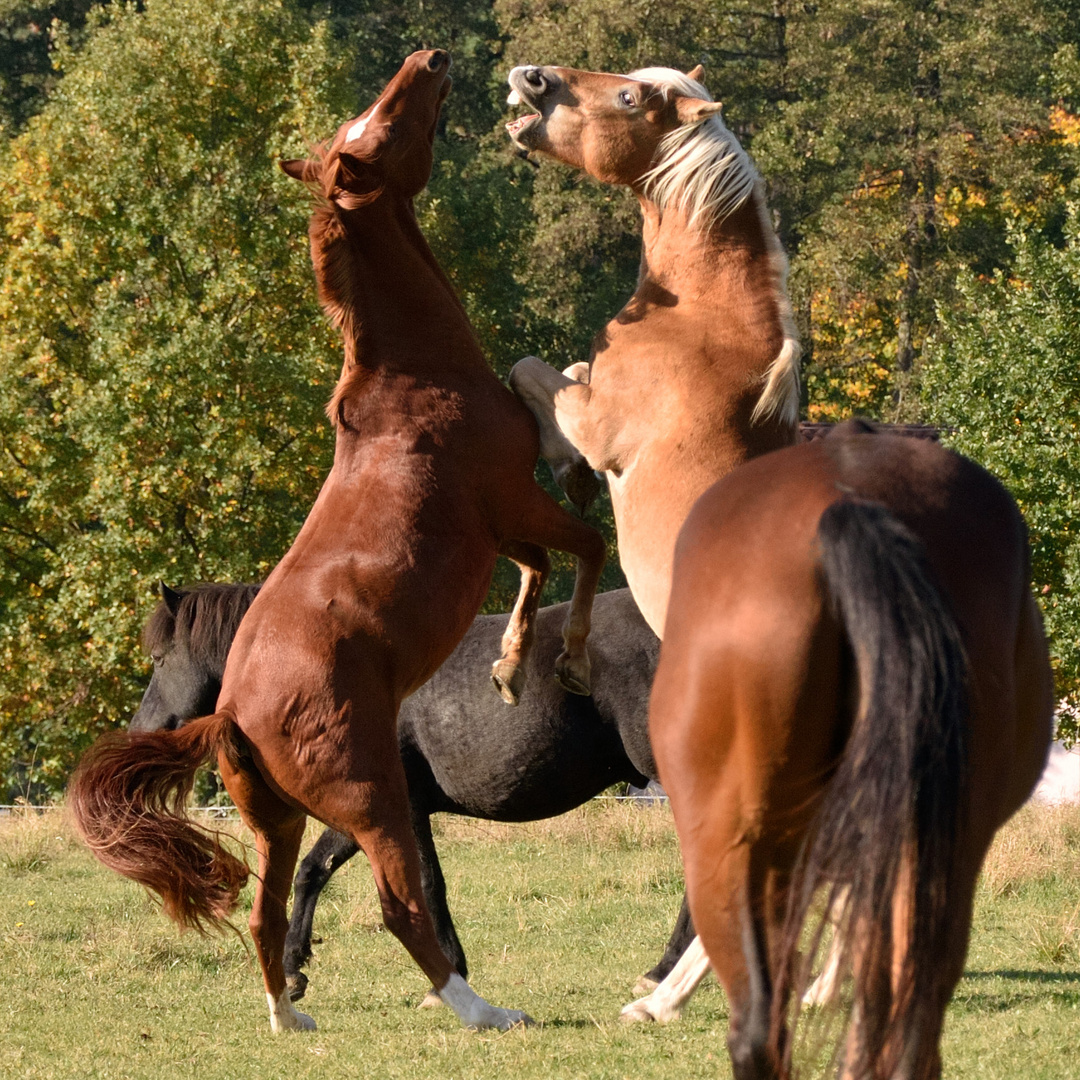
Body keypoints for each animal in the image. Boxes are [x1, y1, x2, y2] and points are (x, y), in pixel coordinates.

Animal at [67, 52, 609, 1036]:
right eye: (380, 125)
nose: (430, 61)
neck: (415, 378)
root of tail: (231, 713)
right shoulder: (513, 503)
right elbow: (580, 544)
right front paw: (567, 659)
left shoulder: (506, 533)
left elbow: (541, 564)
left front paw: (512, 667)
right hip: (376, 801)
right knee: (399, 903)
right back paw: (479, 1010)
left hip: (277, 821)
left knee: (265, 907)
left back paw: (290, 1013)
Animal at [130, 583, 691, 1002]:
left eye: (159, 658)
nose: (142, 729)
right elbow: (315, 870)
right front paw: (293, 969)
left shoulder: (402, 808)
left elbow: (425, 884)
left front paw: (449, 977)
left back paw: (661, 971)